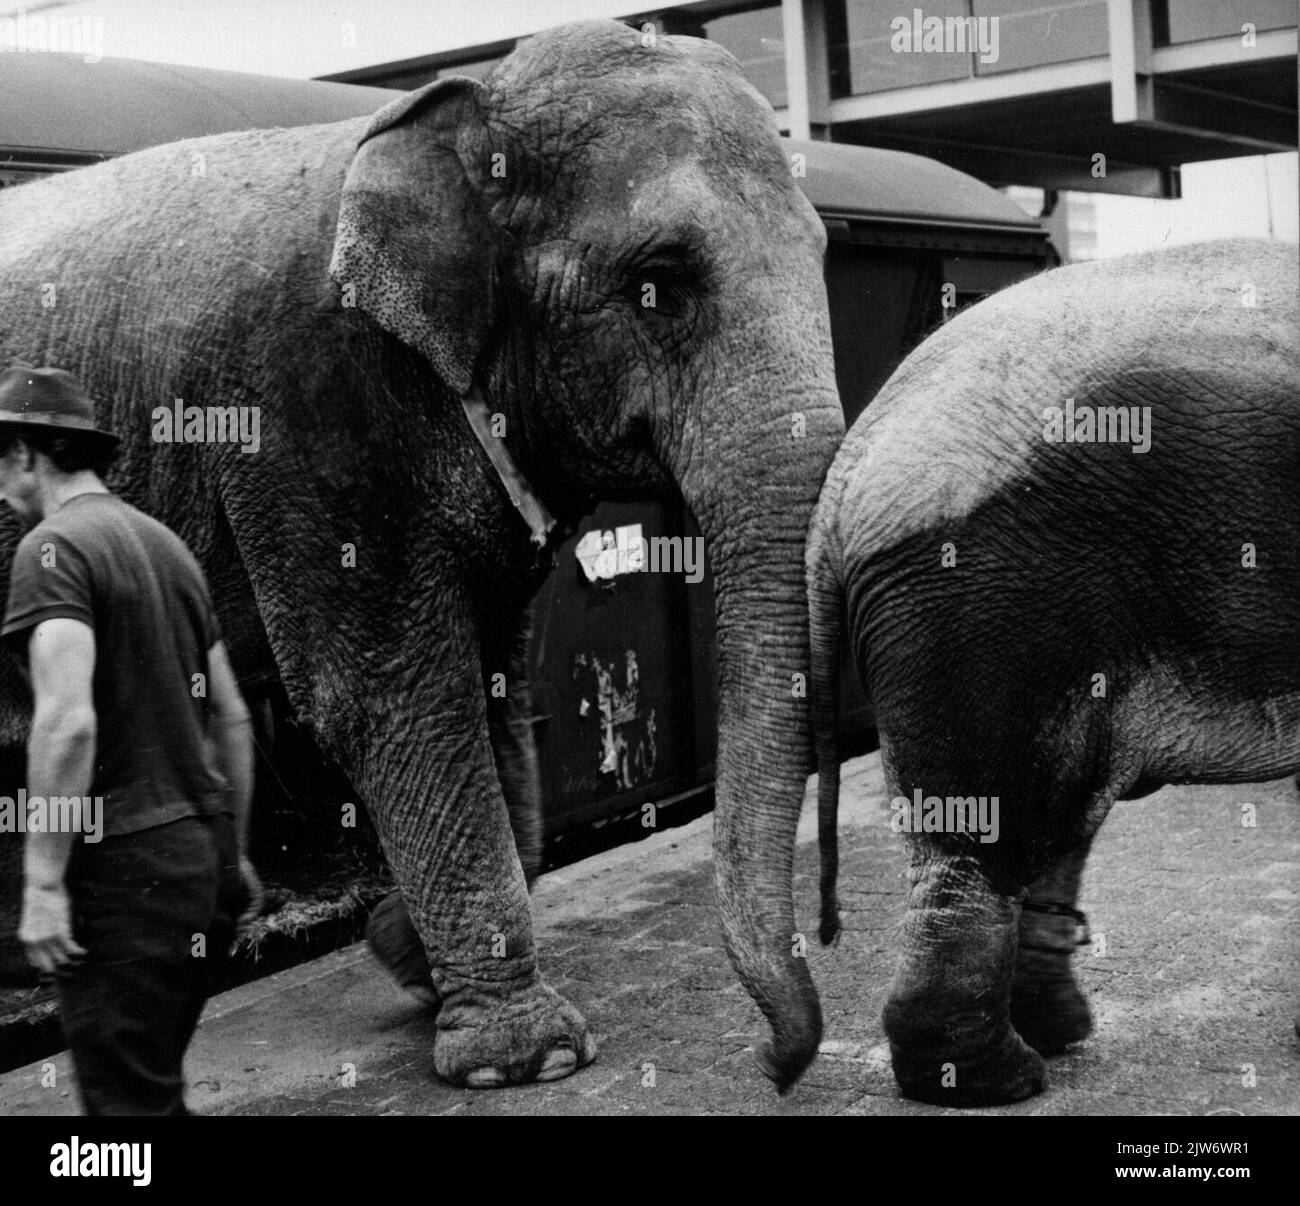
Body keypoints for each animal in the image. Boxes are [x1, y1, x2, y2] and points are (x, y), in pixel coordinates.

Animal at [0, 18, 842, 1091]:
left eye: (825, 249)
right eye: (658, 284)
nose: (775, 1065)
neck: (458, 112)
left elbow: (493, 682)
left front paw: (403, 953)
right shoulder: (302, 413)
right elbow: (387, 693)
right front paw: (524, 1060)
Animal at [811, 240, 1300, 1107]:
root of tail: (851, 464)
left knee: (1064, 809)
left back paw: (1051, 1032)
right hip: (988, 606)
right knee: (994, 828)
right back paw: (993, 1079)